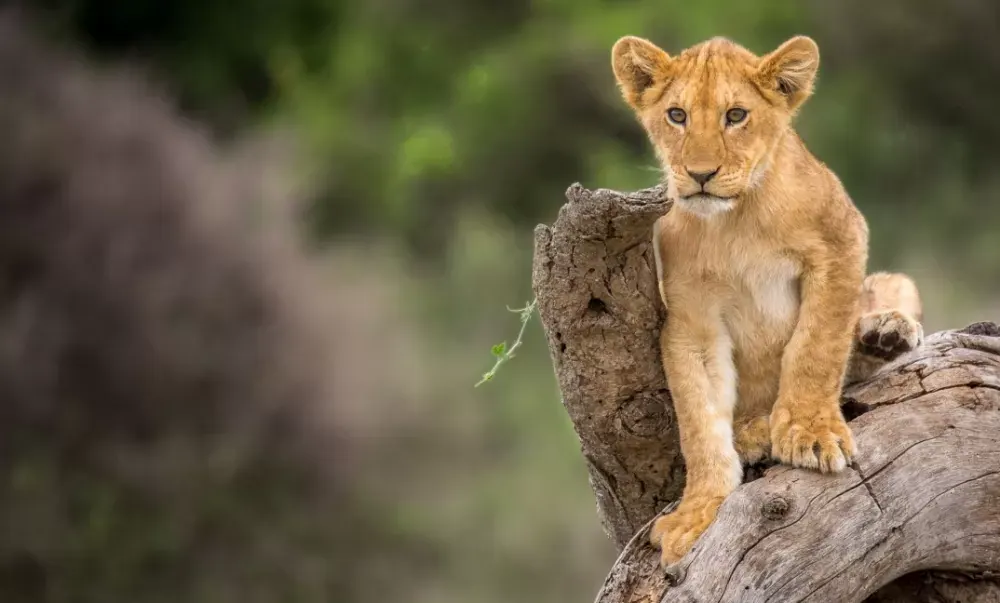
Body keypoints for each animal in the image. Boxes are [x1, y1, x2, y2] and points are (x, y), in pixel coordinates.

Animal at [610, 34, 924, 567]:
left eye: (736, 115)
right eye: (677, 115)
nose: (699, 173)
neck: (736, 219)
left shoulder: (842, 243)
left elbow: (816, 348)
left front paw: (809, 433)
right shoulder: (690, 319)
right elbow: (699, 423)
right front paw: (696, 512)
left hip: (895, 281)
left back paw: (886, 333)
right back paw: (755, 431)